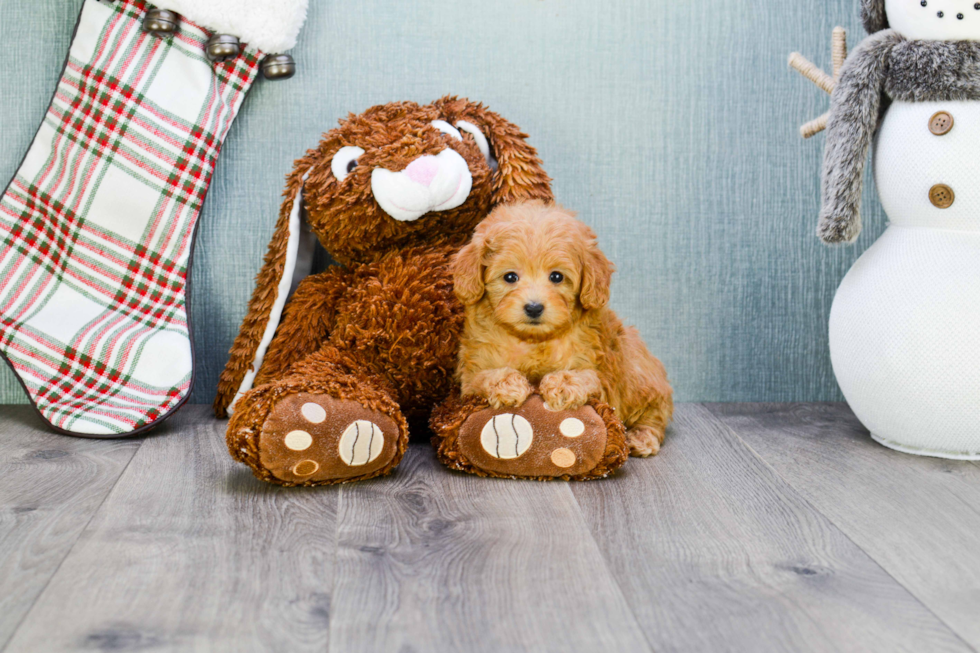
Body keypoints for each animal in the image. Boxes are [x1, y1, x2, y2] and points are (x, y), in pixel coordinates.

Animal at [454, 201, 672, 456]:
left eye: (557, 276)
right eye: (510, 277)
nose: (534, 307)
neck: (533, 339)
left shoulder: (596, 369)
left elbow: (584, 376)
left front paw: (562, 384)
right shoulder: (471, 374)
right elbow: (485, 376)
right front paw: (509, 385)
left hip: (638, 374)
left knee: (654, 415)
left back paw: (642, 437)